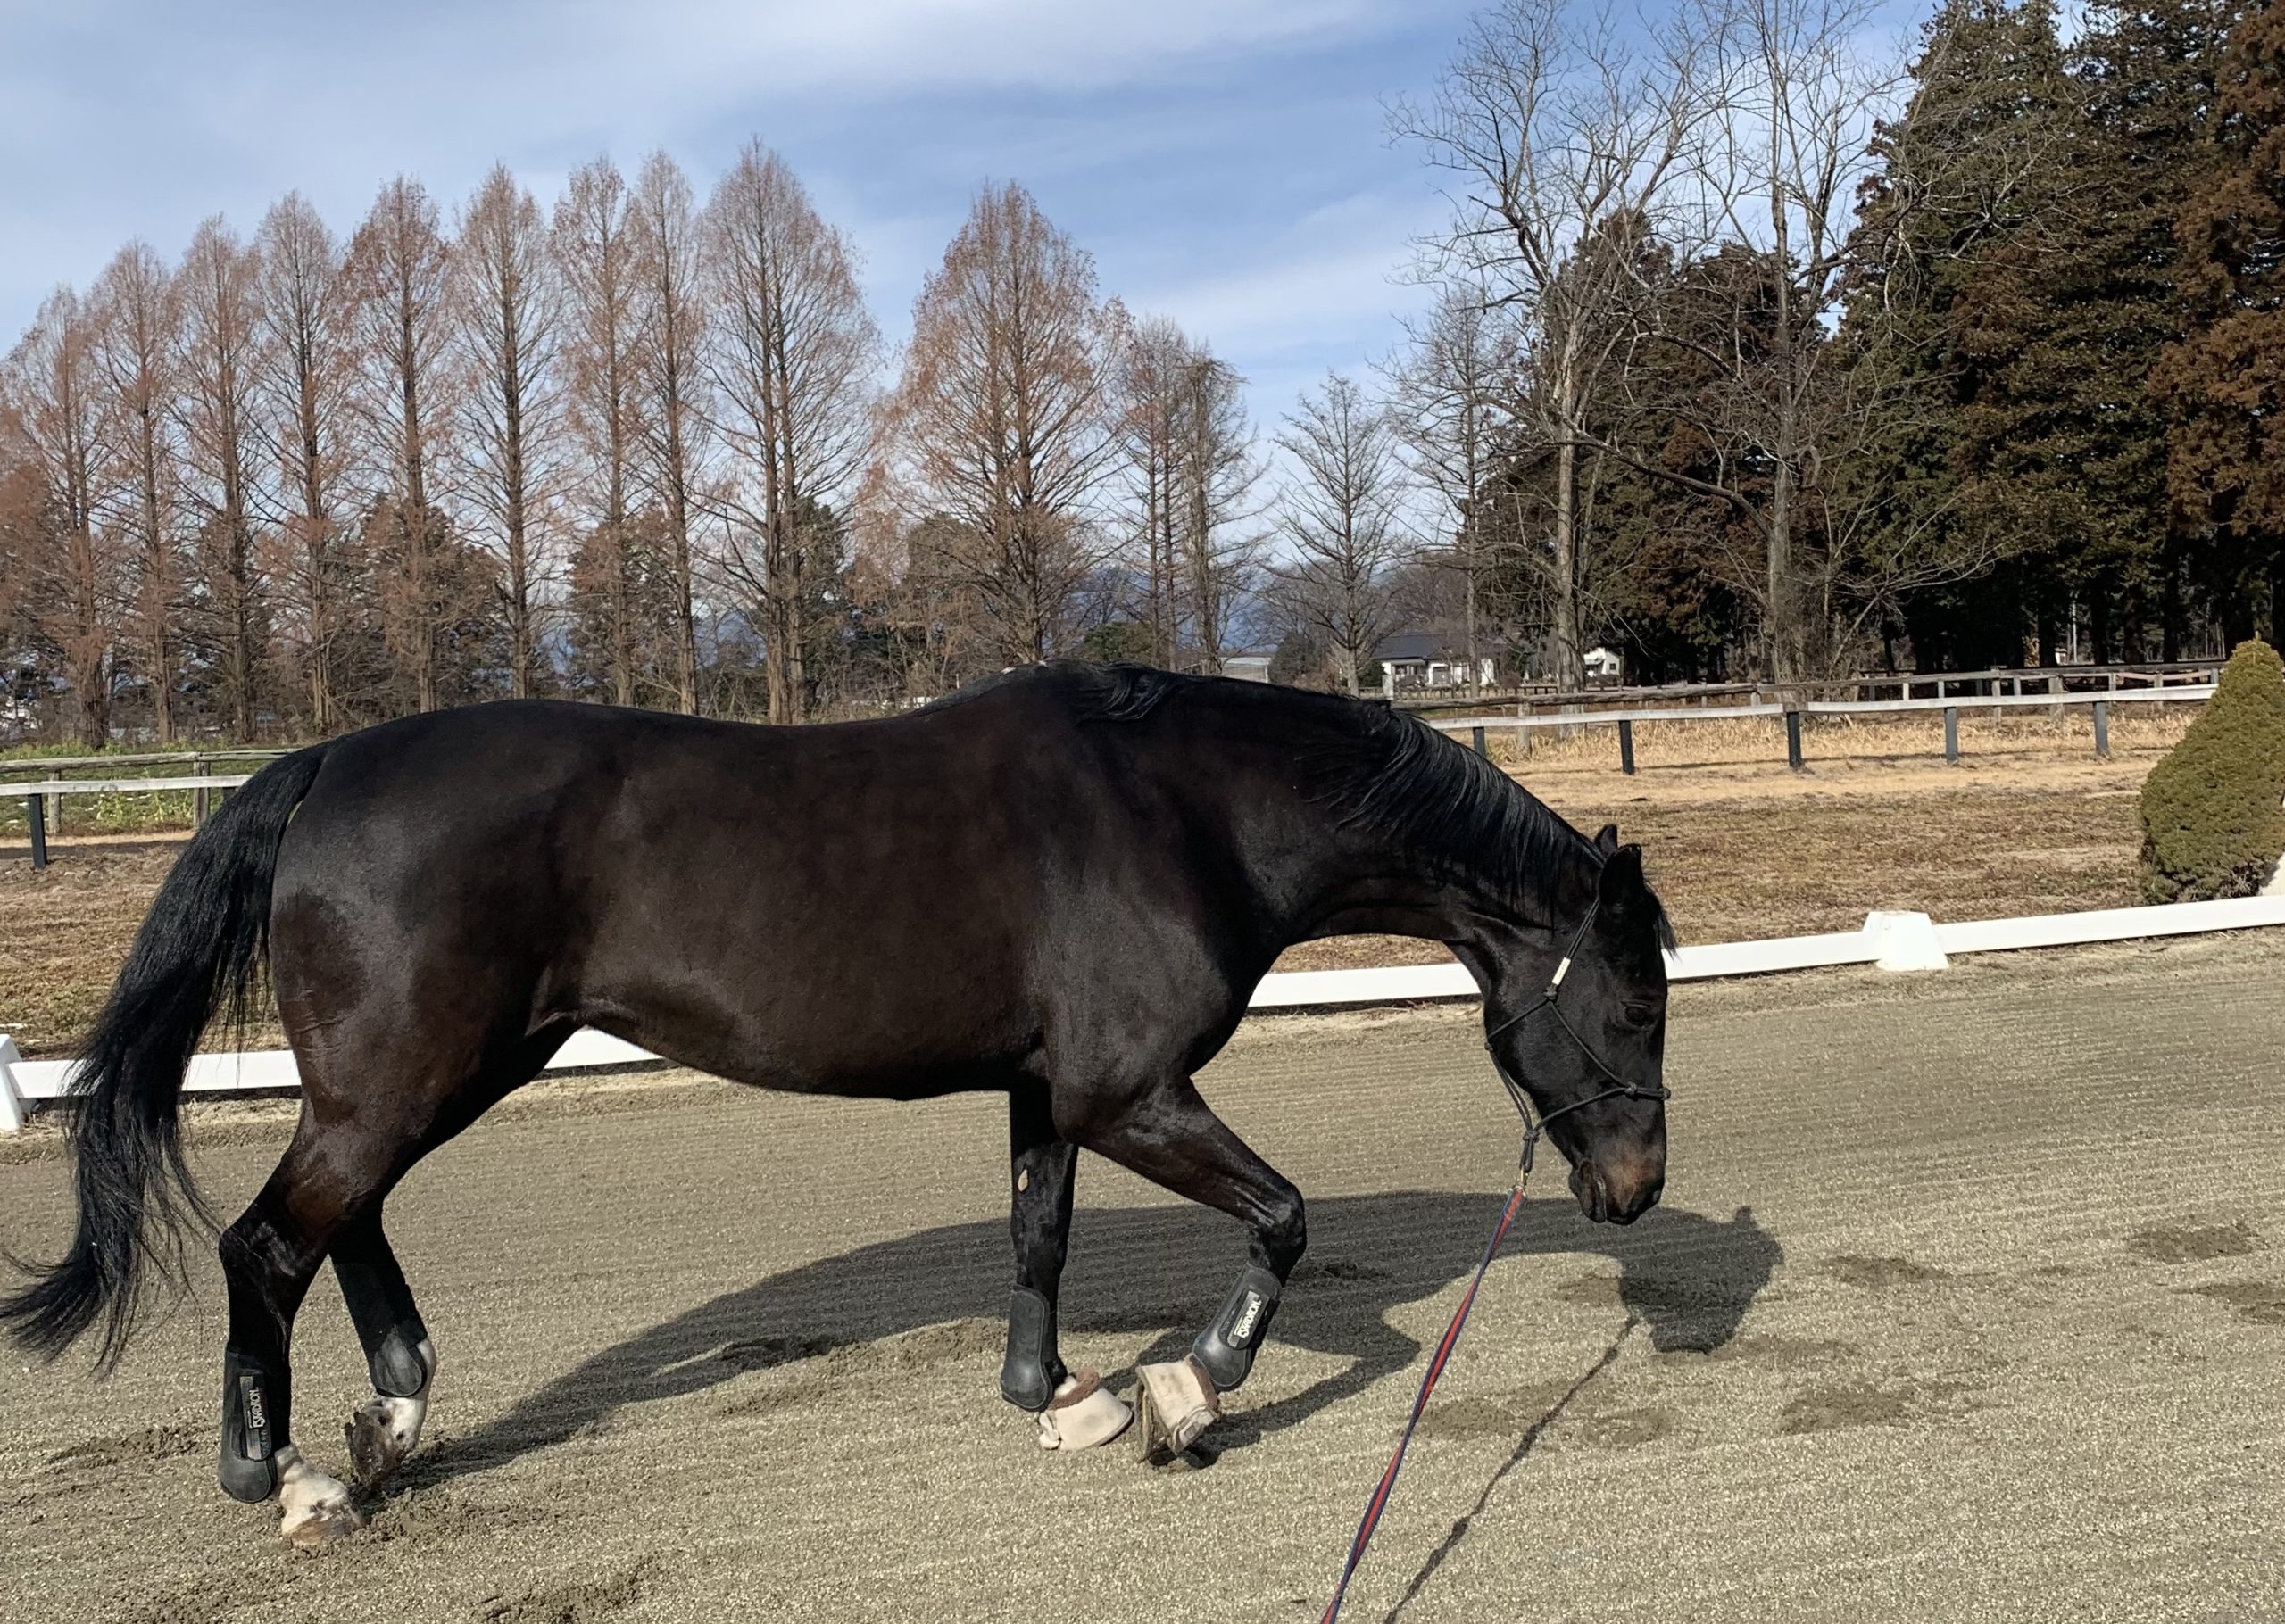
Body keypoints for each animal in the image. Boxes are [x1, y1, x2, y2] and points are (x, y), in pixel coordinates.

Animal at [2, 662, 1674, 1547]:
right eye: (1632, 1002)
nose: (1638, 1188)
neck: (1180, 810)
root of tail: (325, 763)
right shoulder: (1130, 1090)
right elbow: (1283, 1218)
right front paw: (1184, 1399)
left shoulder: (1049, 1092)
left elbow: (1038, 1240)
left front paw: (1063, 1398)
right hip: (413, 1075)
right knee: (271, 1245)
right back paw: (286, 1479)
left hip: (431, 1072)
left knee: (340, 1223)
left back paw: (393, 1417)